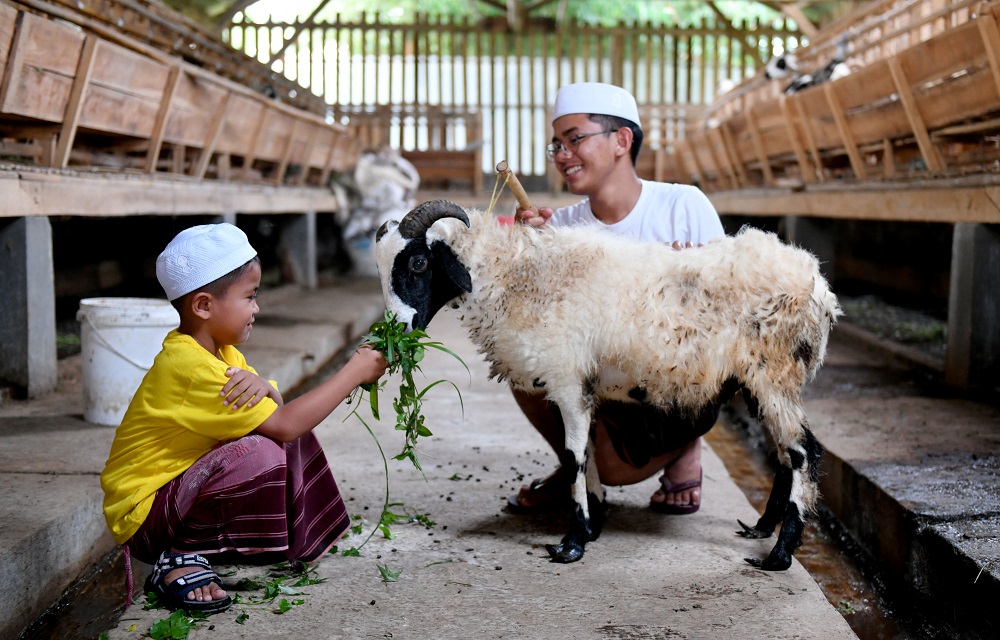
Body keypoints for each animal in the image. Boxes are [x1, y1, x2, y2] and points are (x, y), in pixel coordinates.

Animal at [376, 198, 844, 568]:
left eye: (418, 263)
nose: (396, 332)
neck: (515, 276)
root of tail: (820, 287)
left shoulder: (567, 380)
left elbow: (574, 456)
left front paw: (573, 542)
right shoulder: (581, 386)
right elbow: (587, 452)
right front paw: (594, 521)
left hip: (774, 372)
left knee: (803, 451)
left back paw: (779, 555)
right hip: (756, 381)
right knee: (783, 453)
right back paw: (761, 528)